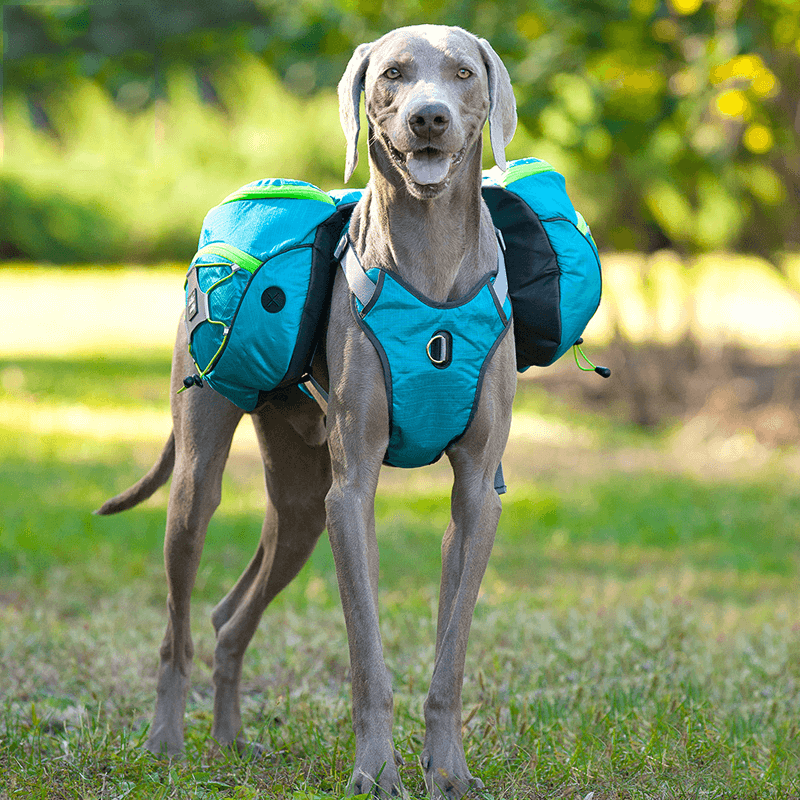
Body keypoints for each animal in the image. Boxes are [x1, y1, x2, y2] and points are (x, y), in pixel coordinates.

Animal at [97, 25, 516, 800]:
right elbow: (367, 657)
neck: (430, 259)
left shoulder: (478, 490)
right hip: (201, 483)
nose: (429, 118)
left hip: (297, 505)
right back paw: (167, 742)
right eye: (393, 75)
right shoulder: (350, 494)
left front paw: (448, 769)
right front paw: (376, 771)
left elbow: (450, 656)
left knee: (229, 618)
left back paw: (231, 742)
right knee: (179, 627)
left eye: (463, 74)